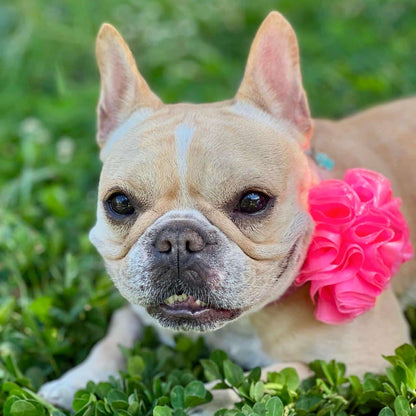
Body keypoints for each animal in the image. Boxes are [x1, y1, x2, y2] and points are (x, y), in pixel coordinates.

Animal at [37, 11, 414, 412]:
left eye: (252, 201)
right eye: (120, 203)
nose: (178, 239)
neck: (240, 326)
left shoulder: (366, 363)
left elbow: (284, 372)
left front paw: (208, 401)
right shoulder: (134, 310)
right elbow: (115, 332)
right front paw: (76, 379)